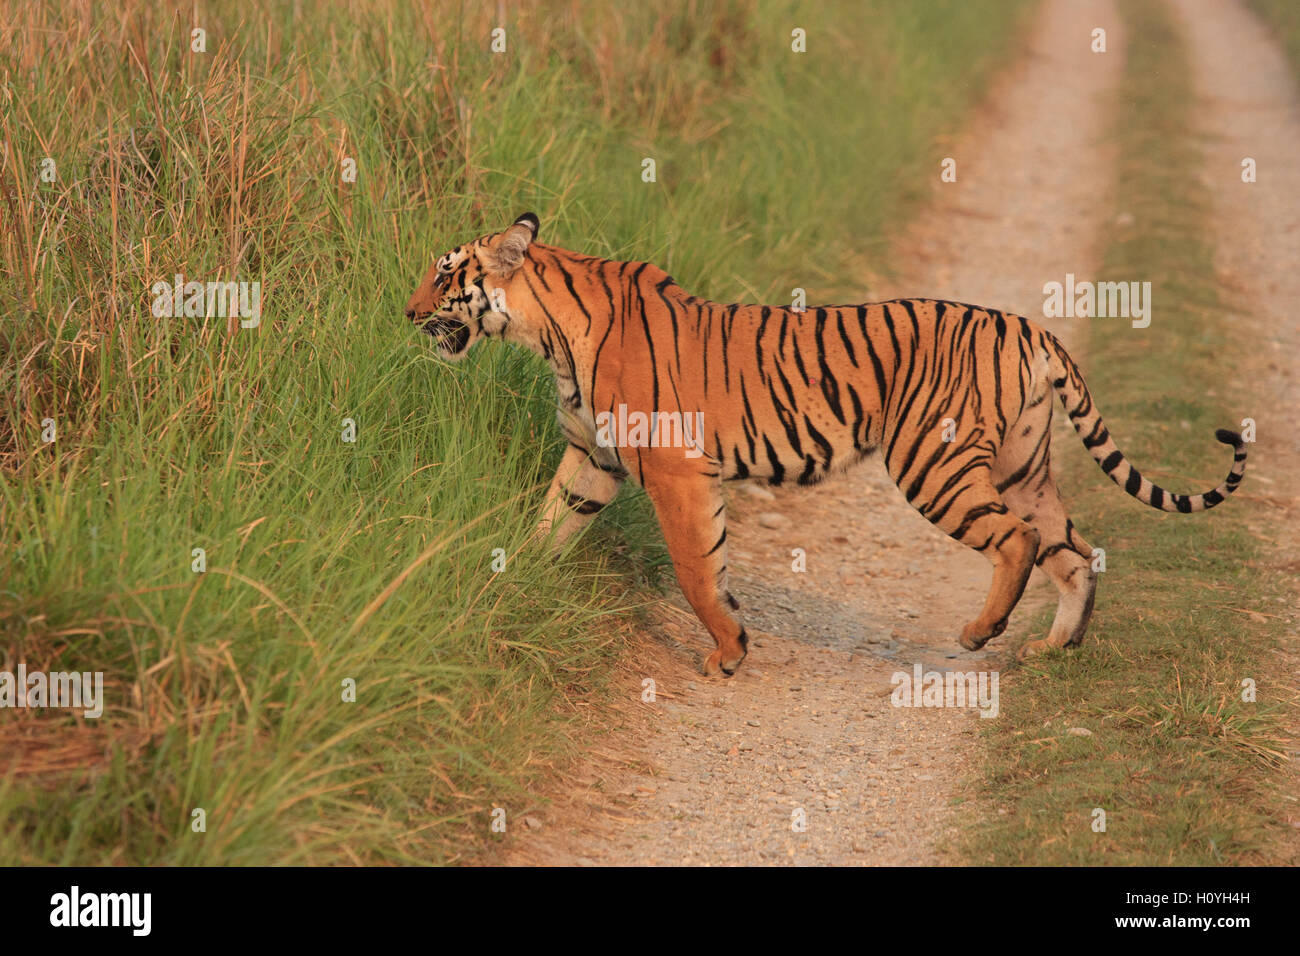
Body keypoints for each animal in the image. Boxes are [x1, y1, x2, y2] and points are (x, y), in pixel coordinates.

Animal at [405, 213, 1248, 676]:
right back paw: (1053, 650)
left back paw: (981, 632)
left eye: (444, 274)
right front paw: (510, 588)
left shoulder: (675, 471)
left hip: (935, 464)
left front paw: (729, 650)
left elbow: (696, 570)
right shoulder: (593, 459)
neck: (544, 333)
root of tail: (1033, 330)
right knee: (1073, 552)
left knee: (1017, 542)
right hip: (1023, 468)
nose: (407, 311)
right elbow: (548, 527)